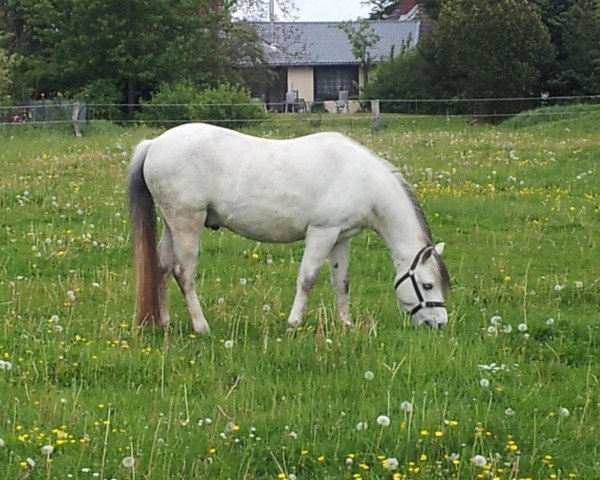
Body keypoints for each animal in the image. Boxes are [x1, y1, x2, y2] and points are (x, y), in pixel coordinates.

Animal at [130, 124, 450, 334]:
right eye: (427, 285)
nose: (439, 323)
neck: (359, 176)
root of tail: (154, 144)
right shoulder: (321, 232)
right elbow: (307, 280)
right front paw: (293, 324)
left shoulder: (341, 238)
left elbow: (341, 282)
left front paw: (345, 323)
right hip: (188, 222)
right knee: (184, 273)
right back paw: (201, 327)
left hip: (172, 222)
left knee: (162, 266)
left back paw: (164, 322)